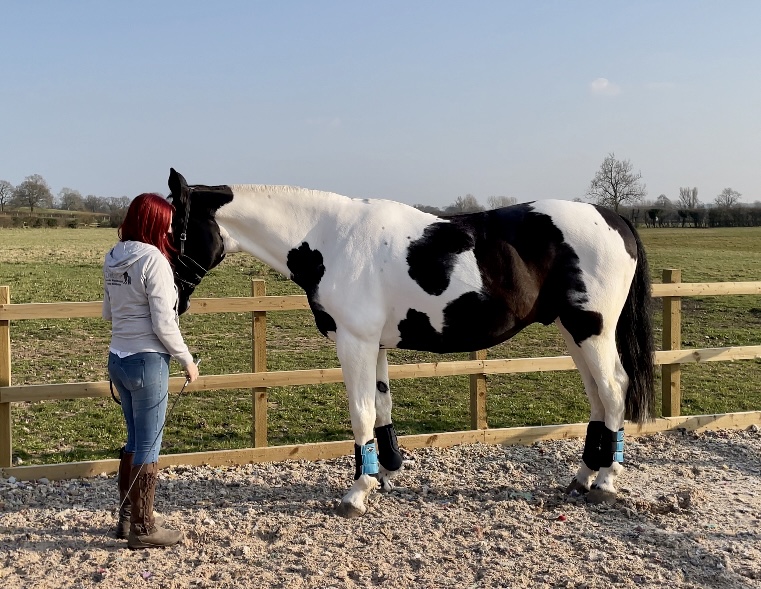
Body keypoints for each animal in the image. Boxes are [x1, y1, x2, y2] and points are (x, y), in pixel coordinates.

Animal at [167, 168, 655, 517]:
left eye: (175, 233)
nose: (175, 301)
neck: (330, 239)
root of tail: (613, 217)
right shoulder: (376, 346)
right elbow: (381, 409)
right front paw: (384, 475)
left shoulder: (355, 343)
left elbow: (361, 413)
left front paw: (356, 493)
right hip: (573, 332)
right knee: (597, 396)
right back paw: (583, 477)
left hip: (592, 331)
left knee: (613, 390)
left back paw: (606, 484)